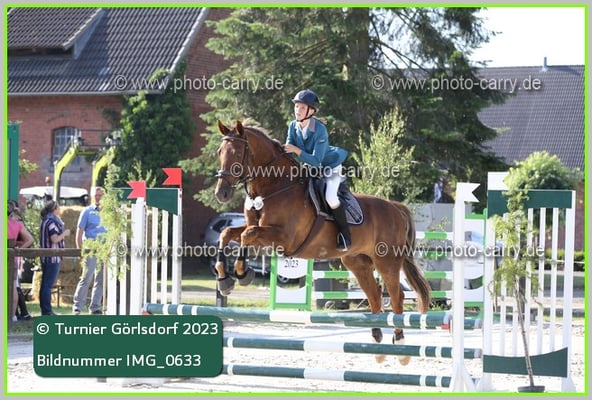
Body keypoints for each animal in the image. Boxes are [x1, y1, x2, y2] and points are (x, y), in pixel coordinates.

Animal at [213, 120, 431, 365]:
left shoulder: (284, 238)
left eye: (237, 152)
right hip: (357, 263)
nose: (221, 193)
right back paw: (376, 342)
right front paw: (224, 279)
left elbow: (246, 235)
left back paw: (400, 343)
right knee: (375, 295)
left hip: (387, 262)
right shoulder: (262, 233)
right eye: (219, 152)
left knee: (396, 296)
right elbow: (228, 233)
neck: (274, 187)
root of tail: (396, 207)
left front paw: (242, 273)